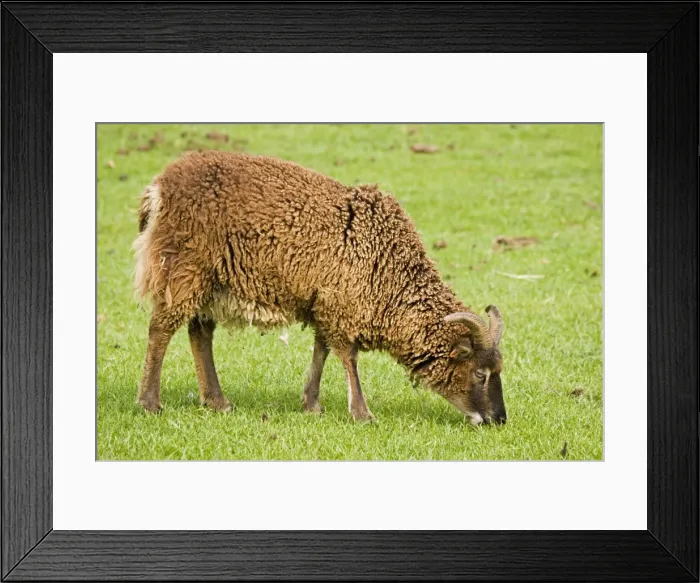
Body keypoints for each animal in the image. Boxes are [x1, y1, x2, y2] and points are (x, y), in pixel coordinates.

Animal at [133, 150, 506, 425]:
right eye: (480, 373)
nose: (499, 419)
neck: (390, 267)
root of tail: (158, 189)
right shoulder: (341, 304)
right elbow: (347, 357)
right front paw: (362, 414)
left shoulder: (324, 302)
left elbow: (322, 349)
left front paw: (311, 403)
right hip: (182, 267)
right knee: (161, 329)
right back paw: (150, 403)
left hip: (212, 280)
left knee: (199, 333)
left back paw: (218, 401)